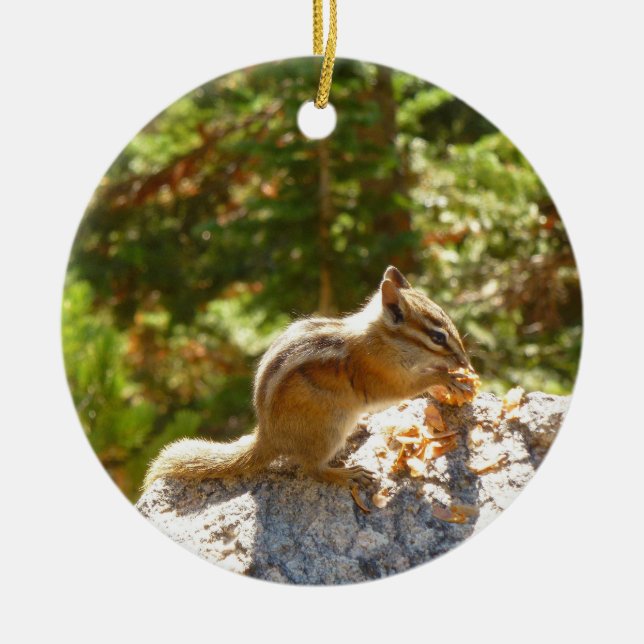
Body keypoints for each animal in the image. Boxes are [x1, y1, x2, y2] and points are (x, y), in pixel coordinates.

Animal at [142, 266, 473, 492]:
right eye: (437, 337)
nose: (465, 361)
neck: (382, 339)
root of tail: (268, 436)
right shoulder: (382, 377)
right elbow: (411, 385)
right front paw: (447, 377)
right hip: (328, 428)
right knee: (312, 469)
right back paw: (346, 474)